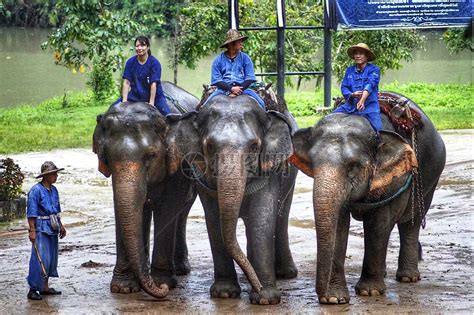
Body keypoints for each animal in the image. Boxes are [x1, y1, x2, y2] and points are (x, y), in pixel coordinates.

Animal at [92, 81, 198, 298]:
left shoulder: (177, 164)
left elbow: (168, 208)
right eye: (106, 156)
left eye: (151, 156)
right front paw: (123, 288)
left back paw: (180, 270)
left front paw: (164, 282)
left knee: (182, 212)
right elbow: (123, 206)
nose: (162, 290)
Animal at [167, 95, 298, 304]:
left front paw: (265, 299)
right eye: (209, 146)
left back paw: (285, 274)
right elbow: (214, 221)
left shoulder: (270, 172)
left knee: (281, 216)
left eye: (254, 146)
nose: (258, 287)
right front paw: (225, 293)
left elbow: (261, 219)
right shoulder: (204, 179)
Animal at [290, 92, 446, 304]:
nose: (321, 295)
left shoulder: (393, 179)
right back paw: (387, 274)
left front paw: (369, 292)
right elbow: (339, 225)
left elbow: (378, 225)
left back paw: (408, 278)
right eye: (313, 163)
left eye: (353, 166)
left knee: (410, 223)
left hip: (431, 178)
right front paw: (334, 299)